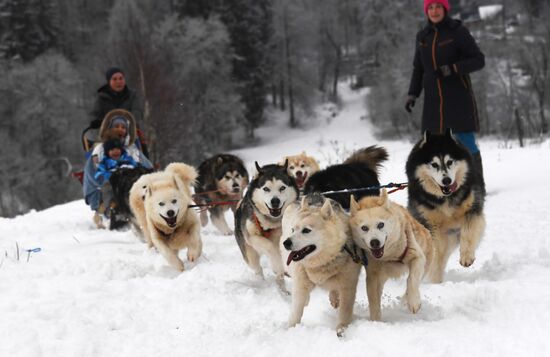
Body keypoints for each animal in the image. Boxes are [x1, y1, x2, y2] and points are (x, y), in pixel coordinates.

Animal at [235, 160, 300, 290]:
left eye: (282, 188)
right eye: (266, 189)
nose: (275, 201)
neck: (270, 222)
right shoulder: (251, 237)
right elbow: (270, 247)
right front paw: (277, 264)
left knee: (279, 278)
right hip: (250, 255)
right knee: (257, 268)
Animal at [282, 193, 364, 336]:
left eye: (306, 230)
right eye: (293, 230)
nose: (286, 243)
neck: (323, 262)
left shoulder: (348, 287)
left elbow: (345, 311)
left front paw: (342, 329)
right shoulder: (300, 284)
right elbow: (296, 311)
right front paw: (291, 328)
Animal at [406, 129, 488, 282]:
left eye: (450, 162)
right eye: (434, 164)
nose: (447, 180)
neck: (446, 198)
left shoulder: (472, 210)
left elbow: (468, 232)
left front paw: (467, 256)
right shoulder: (433, 226)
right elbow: (437, 253)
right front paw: (435, 281)